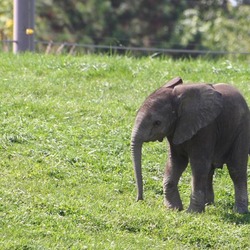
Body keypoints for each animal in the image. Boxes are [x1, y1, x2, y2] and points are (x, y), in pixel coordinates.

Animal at [131, 76, 250, 213]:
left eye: (157, 123)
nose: (139, 200)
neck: (179, 99)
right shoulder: (176, 128)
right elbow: (176, 162)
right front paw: (173, 209)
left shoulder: (205, 128)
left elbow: (198, 164)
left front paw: (192, 213)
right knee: (210, 170)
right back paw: (209, 204)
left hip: (241, 130)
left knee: (236, 169)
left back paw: (240, 211)